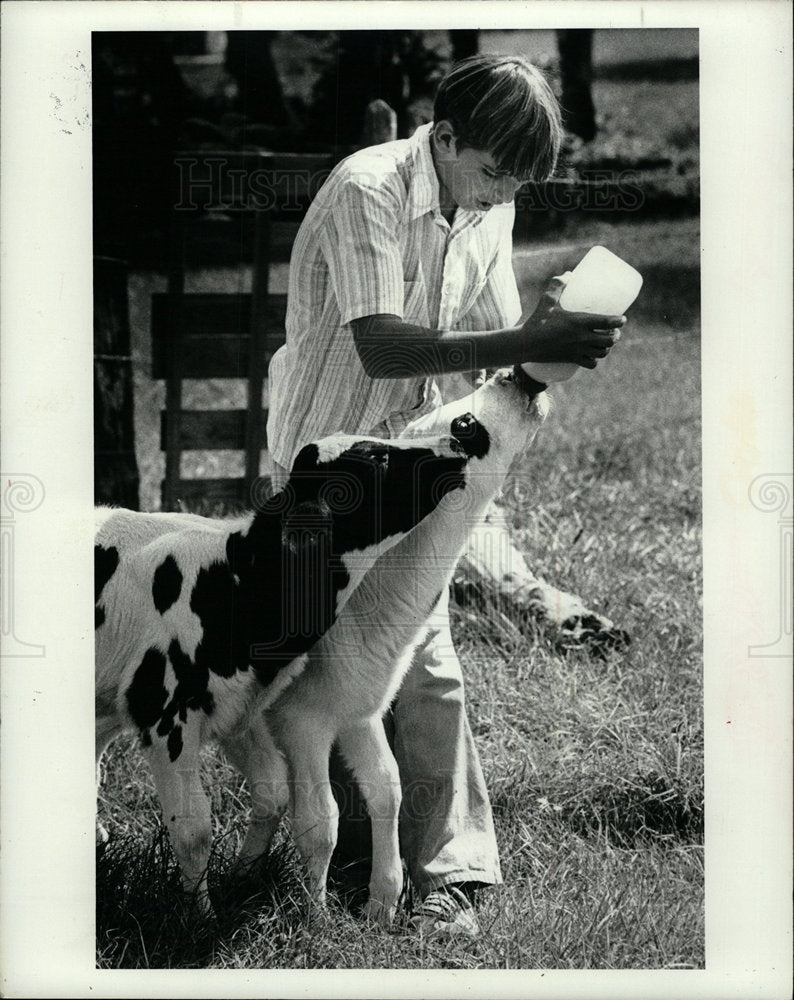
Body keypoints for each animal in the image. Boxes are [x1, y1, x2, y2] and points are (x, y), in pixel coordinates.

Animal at [95, 426, 474, 912]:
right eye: (378, 460)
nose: (457, 439)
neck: (236, 583)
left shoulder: (244, 708)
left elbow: (276, 792)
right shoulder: (166, 716)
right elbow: (195, 829)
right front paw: (200, 916)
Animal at [220, 368, 548, 920]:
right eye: (465, 423)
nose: (519, 375)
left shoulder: (358, 708)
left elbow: (387, 789)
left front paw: (382, 903)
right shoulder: (301, 720)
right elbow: (319, 817)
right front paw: (315, 916)